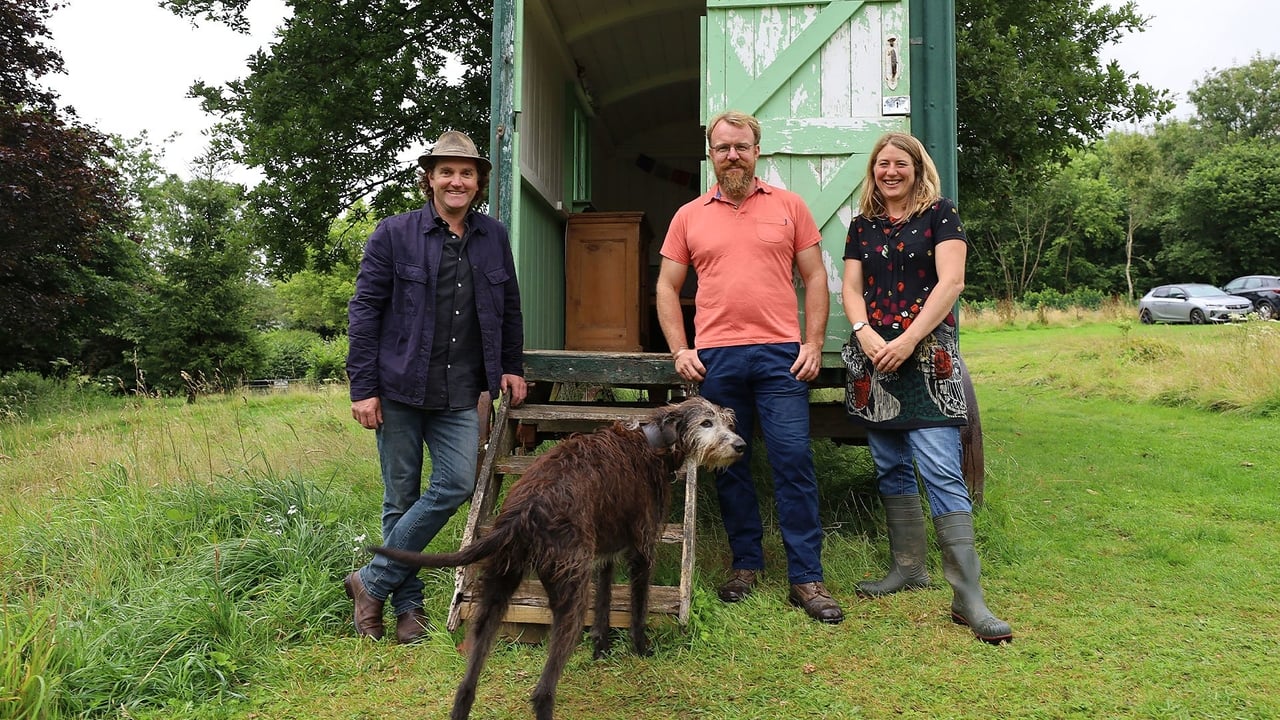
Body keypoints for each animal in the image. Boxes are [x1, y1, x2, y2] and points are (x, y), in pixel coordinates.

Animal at [371, 394, 747, 717]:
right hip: (569, 598)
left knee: (466, 687)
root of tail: (523, 513)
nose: (740, 445)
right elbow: (638, 607)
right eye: (706, 422)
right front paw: (640, 648)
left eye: (727, 420)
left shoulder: (605, 556)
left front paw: (600, 649)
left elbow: (605, 603)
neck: (651, 442)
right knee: (542, 691)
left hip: (495, 596)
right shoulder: (642, 550)